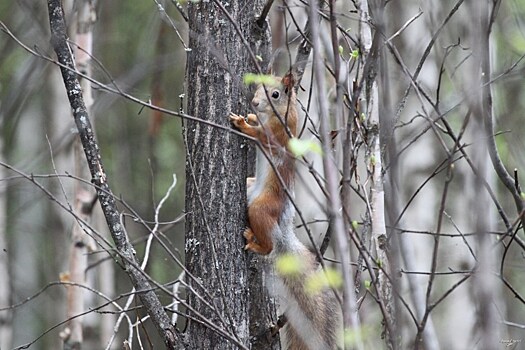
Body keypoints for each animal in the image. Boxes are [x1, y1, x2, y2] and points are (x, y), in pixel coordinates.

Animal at [229, 72, 340, 350]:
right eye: (258, 86)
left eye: (275, 94)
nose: (254, 103)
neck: (277, 114)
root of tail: (282, 227)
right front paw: (250, 117)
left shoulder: (278, 134)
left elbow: (262, 137)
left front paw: (243, 123)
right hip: (249, 186)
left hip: (260, 207)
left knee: (269, 245)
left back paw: (255, 242)